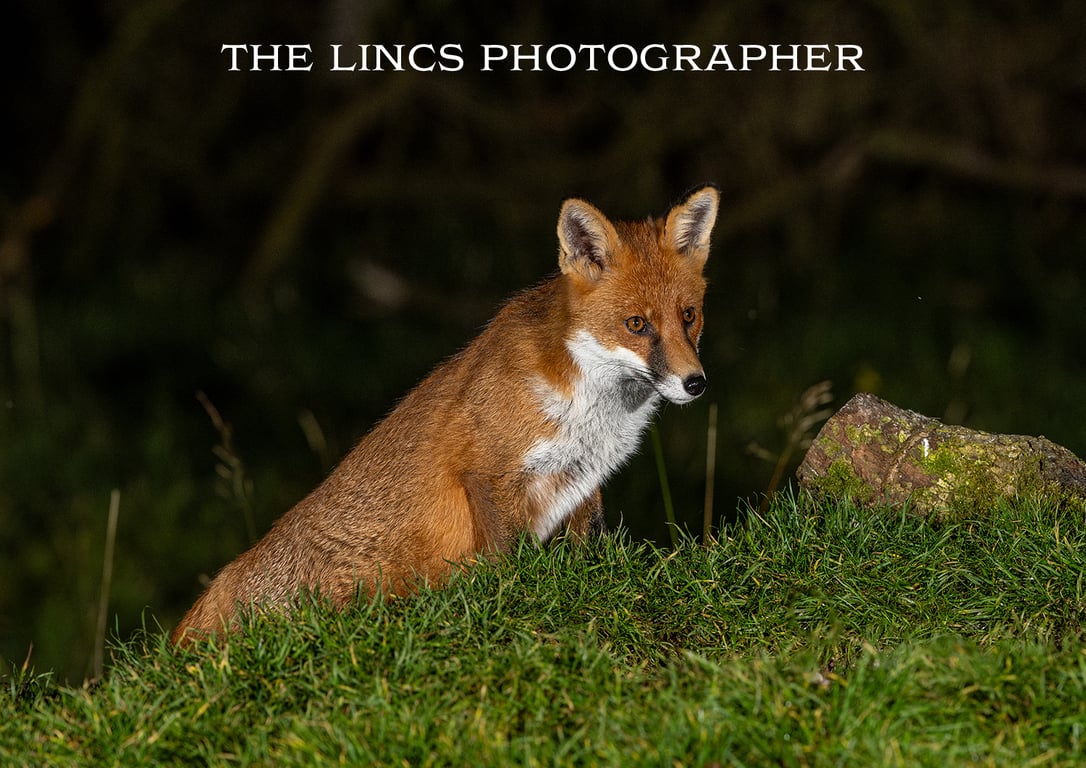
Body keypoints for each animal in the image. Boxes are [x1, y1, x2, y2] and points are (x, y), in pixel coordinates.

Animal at [171, 185, 719, 646]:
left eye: (688, 316)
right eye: (636, 324)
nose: (696, 383)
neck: (592, 411)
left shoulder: (584, 476)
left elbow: (588, 547)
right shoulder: (486, 471)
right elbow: (507, 562)